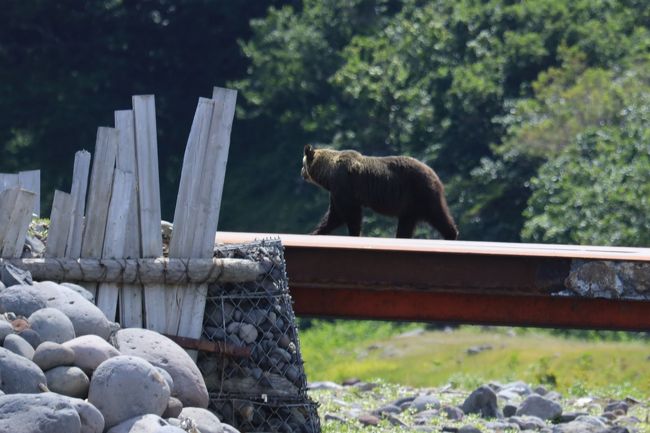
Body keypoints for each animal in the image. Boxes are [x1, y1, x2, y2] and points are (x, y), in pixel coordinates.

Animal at [298, 145, 456, 240]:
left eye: (303, 163)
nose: (301, 172)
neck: (328, 173)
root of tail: (433, 173)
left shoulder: (344, 185)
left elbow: (349, 214)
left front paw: (354, 233)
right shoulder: (336, 191)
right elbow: (334, 215)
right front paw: (316, 231)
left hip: (420, 191)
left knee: (438, 215)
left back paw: (451, 234)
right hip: (409, 205)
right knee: (406, 224)